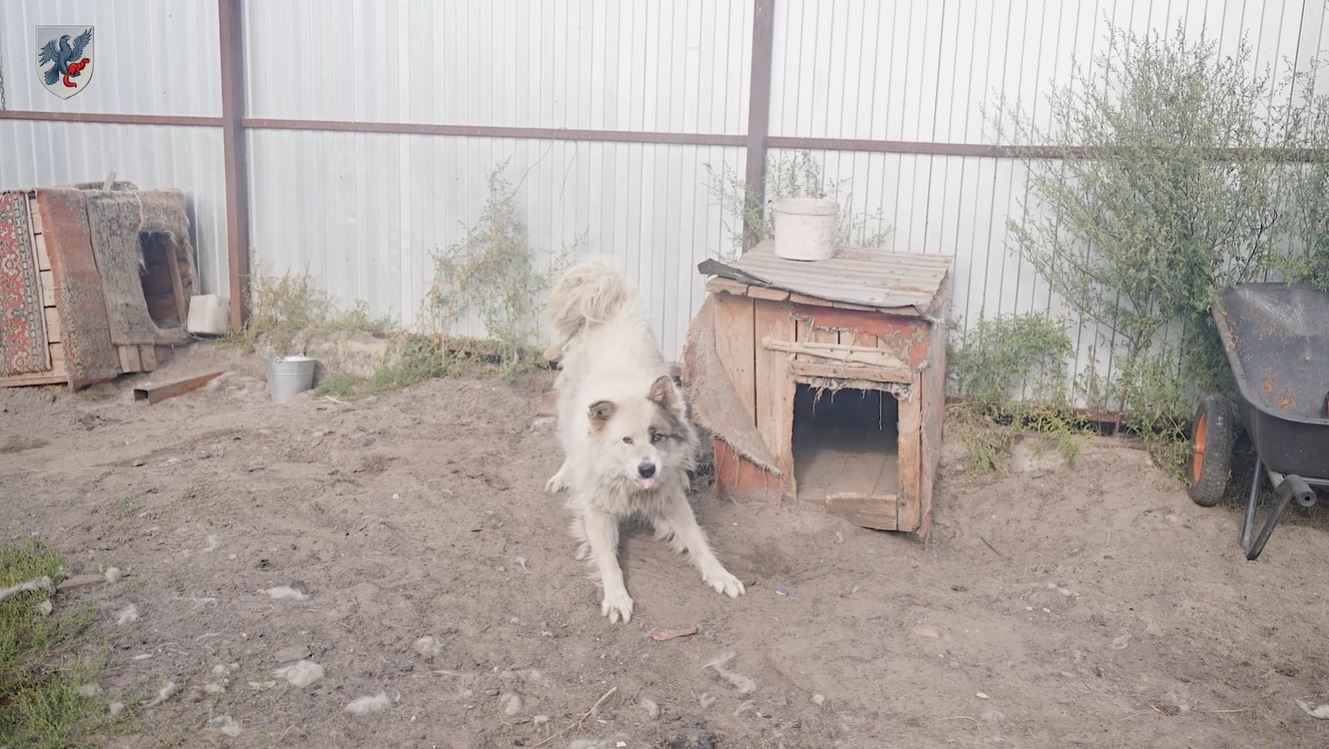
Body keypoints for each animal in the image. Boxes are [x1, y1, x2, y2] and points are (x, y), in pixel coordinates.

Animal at [544, 257, 745, 623]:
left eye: (657, 436)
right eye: (626, 440)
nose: (648, 470)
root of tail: (606, 308)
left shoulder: (673, 498)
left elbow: (698, 540)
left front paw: (720, 574)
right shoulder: (596, 512)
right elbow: (609, 560)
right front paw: (616, 597)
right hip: (567, 407)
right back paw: (563, 475)